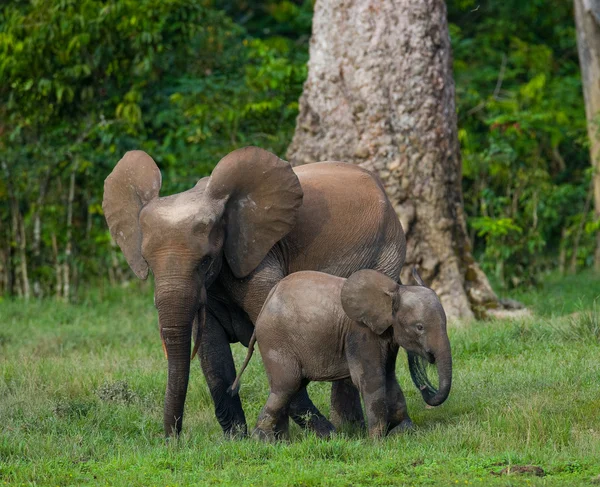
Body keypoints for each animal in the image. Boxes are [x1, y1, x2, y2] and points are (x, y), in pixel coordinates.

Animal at [104, 146, 412, 438]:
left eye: (205, 261)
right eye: (148, 264)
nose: (173, 440)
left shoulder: (259, 257)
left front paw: (324, 435)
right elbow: (213, 353)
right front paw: (236, 439)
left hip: (386, 254)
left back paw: (355, 429)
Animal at [230, 268, 450, 440]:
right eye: (419, 327)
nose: (424, 386)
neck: (393, 292)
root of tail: (265, 306)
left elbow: (389, 378)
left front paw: (404, 433)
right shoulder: (360, 333)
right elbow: (371, 379)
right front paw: (378, 442)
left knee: (291, 387)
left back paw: (281, 442)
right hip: (275, 340)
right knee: (287, 385)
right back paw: (264, 441)